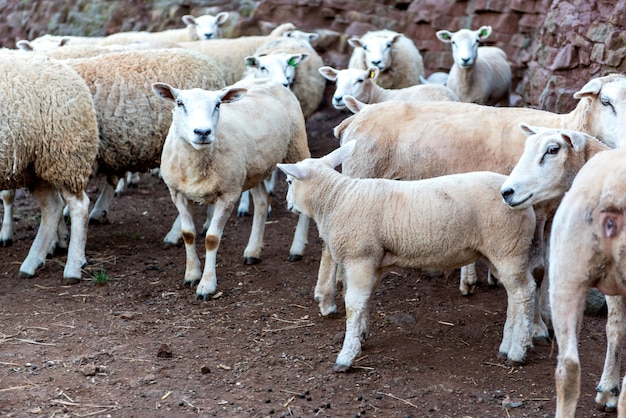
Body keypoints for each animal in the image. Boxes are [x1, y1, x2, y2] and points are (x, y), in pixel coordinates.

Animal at [0, 49, 98, 284]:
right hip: (34, 167)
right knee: (52, 207)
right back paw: (31, 263)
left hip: (64, 156)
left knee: (78, 206)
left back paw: (72, 269)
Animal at [150, 77, 308, 300]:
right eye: (180, 103)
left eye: (218, 104)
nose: (203, 132)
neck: (196, 163)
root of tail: (267, 79)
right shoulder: (177, 193)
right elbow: (188, 233)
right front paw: (191, 274)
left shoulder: (228, 194)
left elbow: (212, 239)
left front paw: (207, 285)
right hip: (253, 169)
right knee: (262, 201)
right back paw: (252, 251)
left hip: (297, 146)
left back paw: (296, 249)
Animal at [276, 140, 536, 370]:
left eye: (289, 181)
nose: (288, 204)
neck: (335, 200)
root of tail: (522, 201)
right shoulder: (373, 262)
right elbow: (365, 300)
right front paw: (361, 334)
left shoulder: (360, 258)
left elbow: (353, 303)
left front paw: (346, 356)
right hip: (498, 251)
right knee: (513, 296)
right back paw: (506, 346)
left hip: (508, 247)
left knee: (525, 293)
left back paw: (517, 351)